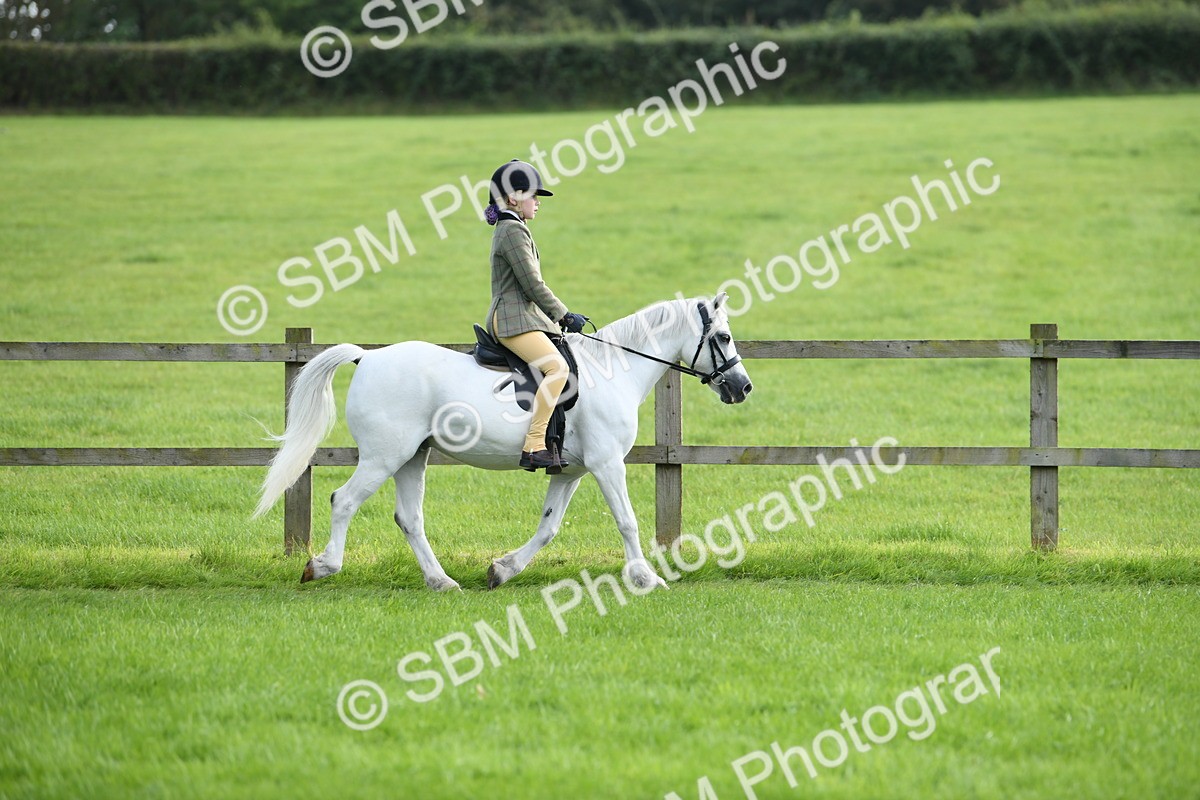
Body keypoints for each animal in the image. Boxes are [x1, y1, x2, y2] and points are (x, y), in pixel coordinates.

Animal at [253, 292, 753, 591]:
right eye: (724, 336)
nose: (742, 387)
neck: (614, 370)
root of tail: (368, 357)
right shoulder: (607, 463)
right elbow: (627, 521)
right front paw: (646, 577)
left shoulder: (570, 471)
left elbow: (549, 526)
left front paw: (502, 569)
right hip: (383, 456)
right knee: (344, 500)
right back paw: (322, 566)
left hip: (413, 457)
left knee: (409, 518)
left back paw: (441, 582)